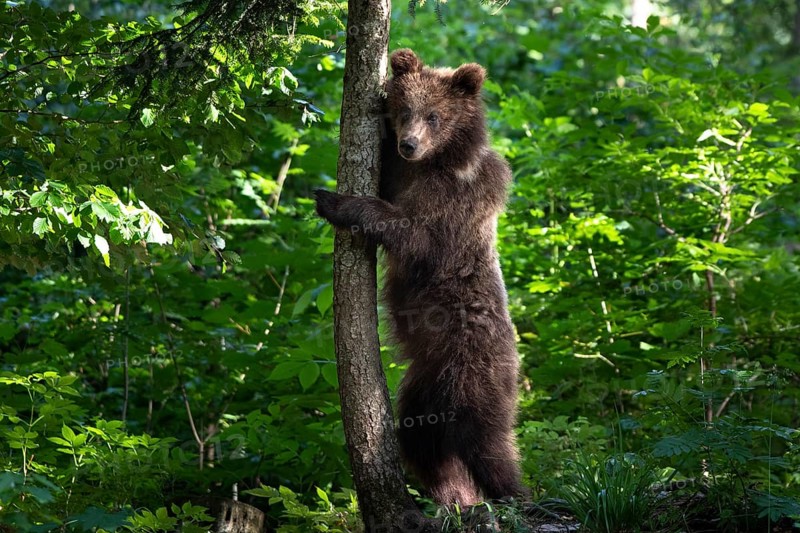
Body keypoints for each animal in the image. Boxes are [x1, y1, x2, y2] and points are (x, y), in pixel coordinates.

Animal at [315, 49, 527, 508]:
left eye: (434, 115)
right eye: (404, 109)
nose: (408, 143)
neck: (435, 162)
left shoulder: (458, 202)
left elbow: (417, 235)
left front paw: (333, 200)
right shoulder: (403, 175)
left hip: (475, 368)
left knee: (486, 439)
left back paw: (516, 493)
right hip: (422, 388)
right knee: (422, 442)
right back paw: (456, 498)